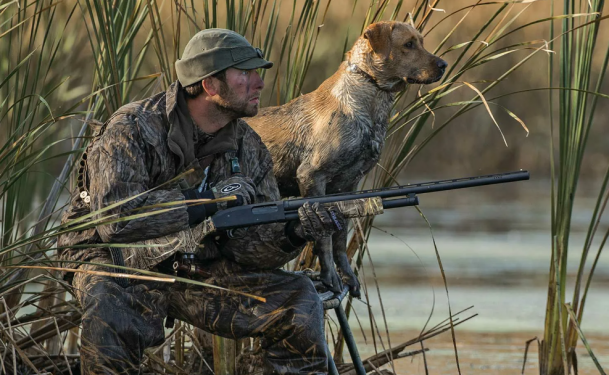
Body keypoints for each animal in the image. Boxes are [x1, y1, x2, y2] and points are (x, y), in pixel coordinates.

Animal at [247, 20, 446, 298]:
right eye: (408, 44)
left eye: (422, 42)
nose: (443, 65)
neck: (370, 103)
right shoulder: (312, 176)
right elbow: (324, 238)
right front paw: (330, 277)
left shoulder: (348, 185)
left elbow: (340, 240)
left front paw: (347, 277)